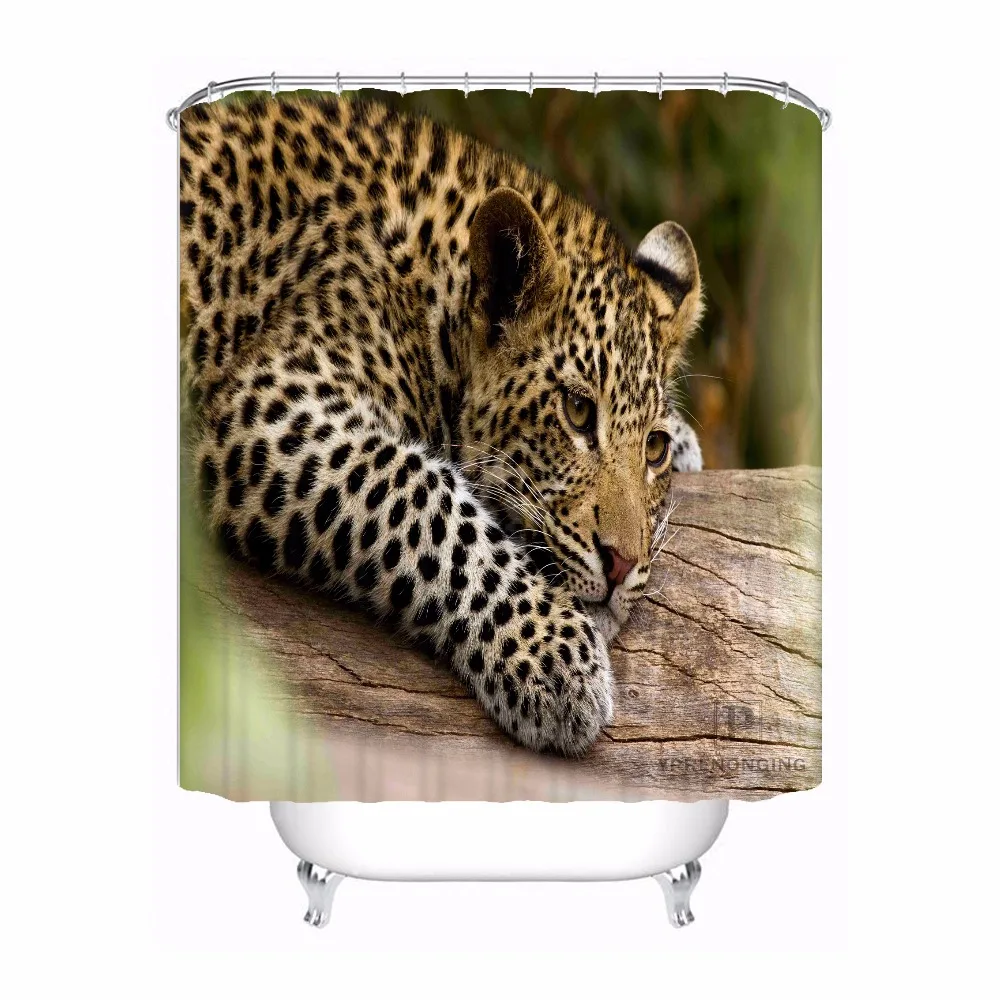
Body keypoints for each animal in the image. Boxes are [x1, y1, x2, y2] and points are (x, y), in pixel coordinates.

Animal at [179, 93, 704, 757]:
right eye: (578, 411)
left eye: (652, 449)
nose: (621, 564)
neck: (433, 288)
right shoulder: (277, 399)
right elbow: (426, 501)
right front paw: (558, 660)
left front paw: (687, 443)